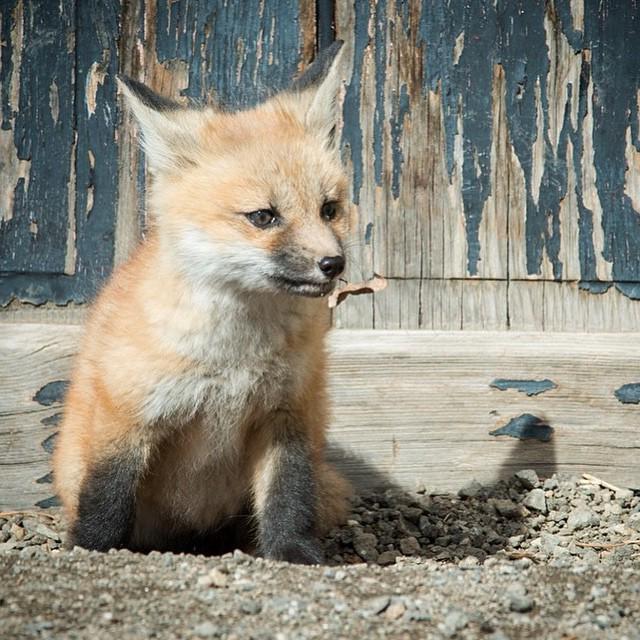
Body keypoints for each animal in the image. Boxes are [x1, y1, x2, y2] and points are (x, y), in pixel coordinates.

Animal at [52, 41, 355, 564]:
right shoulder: (126, 415)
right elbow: (106, 498)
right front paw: (91, 550)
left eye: (329, 210)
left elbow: (288, 496)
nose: (332, 264)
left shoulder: (289, 414)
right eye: (263, 216)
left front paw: (292, 552)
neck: (234, 359)